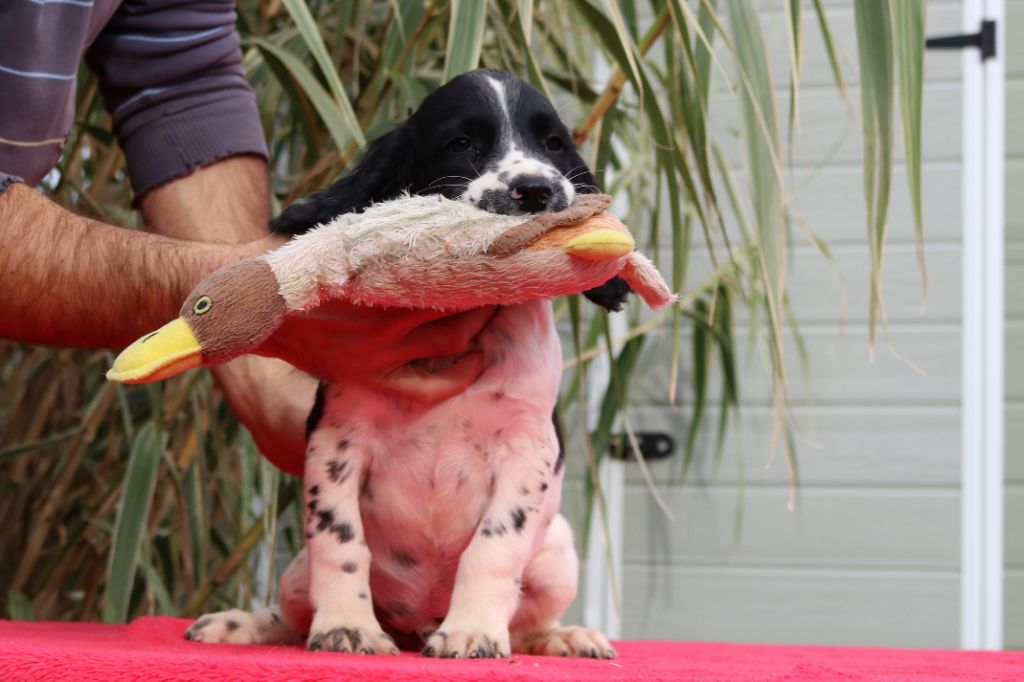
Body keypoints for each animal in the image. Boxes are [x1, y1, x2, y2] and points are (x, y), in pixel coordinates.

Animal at [184, 69, 624, 659]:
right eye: (461, 143)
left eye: (553, 144)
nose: (536, 189)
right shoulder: (338, 440)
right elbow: (340, 541)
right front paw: (347, 626)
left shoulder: (527, 449)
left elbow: (494, 546)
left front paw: (471, 631)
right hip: (296, 572)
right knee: (291, 612)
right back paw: (242, 625)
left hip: (558, 552)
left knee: (529, 623)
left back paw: (567, 636)